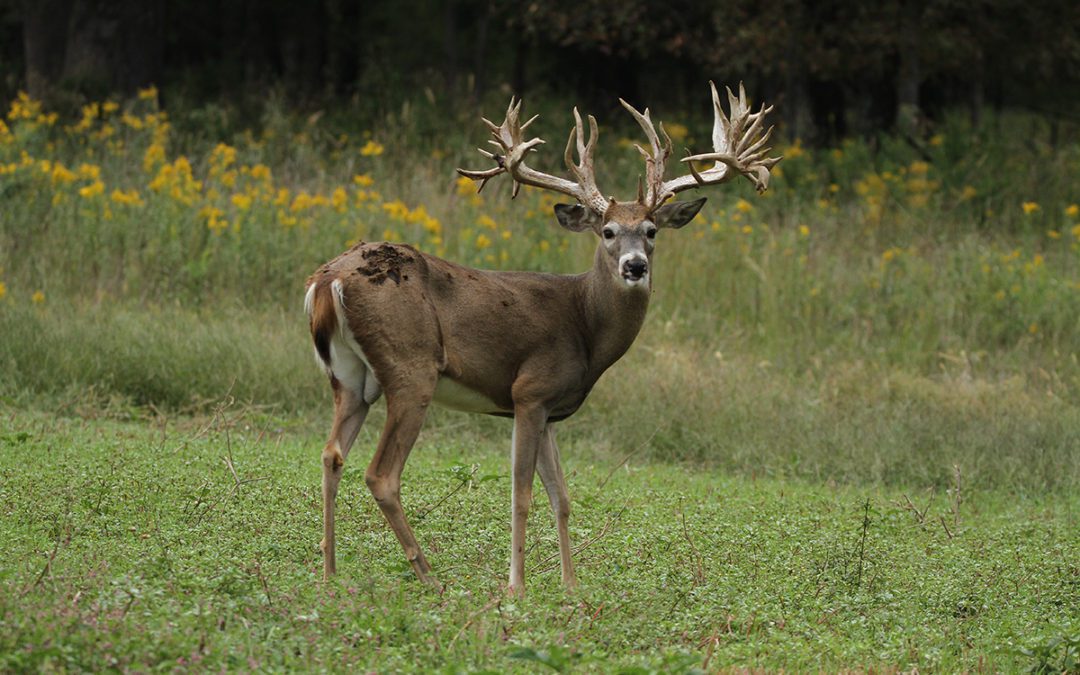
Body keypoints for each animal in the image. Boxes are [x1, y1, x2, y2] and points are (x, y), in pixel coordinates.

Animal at [304, 81, 777, 591]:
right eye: (608, 231)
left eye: (652, 230)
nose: (635, 266)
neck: (584, 325)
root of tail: (328, 279)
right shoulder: (529, 392)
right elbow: (522, 493)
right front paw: (517, 585)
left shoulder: (551, 409)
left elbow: (562, 497)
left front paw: (570, 586)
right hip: (411, 368)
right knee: (381, 475)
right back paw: (429, 576)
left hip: (350, 377)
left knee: (331, 454)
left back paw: (330, 573)